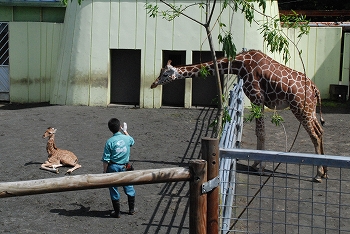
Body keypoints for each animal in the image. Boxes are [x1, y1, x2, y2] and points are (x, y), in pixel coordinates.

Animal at [152, 49, 326, 182]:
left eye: (165, 74)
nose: (153, 84)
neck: (239, 64)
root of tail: (315, 89)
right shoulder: (257, 101)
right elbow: (258, 132)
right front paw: (255, 164)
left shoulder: (257, 98)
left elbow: (261, 132)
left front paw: (260, 167)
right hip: (310, 110)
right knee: (320, 131)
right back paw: (325, 172)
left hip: (300, 108)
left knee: (314, 135)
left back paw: (318, 175)